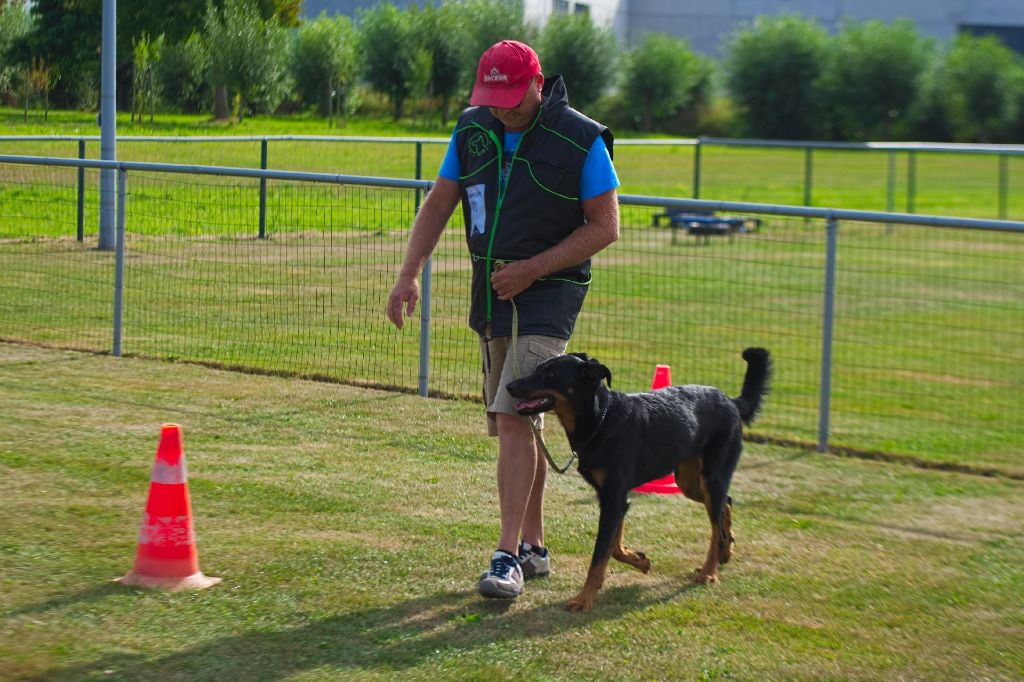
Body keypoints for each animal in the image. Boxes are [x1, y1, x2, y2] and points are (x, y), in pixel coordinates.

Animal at [503, 346, 770, 610]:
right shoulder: (614, 500)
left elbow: (600, 554)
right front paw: (640, 561)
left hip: (711, 478)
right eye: (538, 368)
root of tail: (732, 402)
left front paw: (584, 599)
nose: (509, 386)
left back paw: (709, 571)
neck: (601, 419)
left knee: (716, 526)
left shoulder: (614, 499)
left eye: (551, 373)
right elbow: (614, 548)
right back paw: (726, 551)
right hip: (690, 481)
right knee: (727, 503)